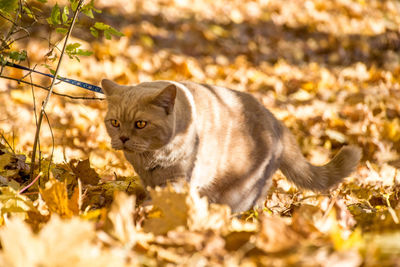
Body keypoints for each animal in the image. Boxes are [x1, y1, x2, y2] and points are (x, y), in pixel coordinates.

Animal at [101, 80, 362, 214]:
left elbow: (165, 198)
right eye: (114, 123)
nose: (122, 138)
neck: (151, 158)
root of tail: (275, 120)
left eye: (140, 124)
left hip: (242, 189)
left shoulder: (179, 179)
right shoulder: (149, 181)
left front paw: (145, 212)